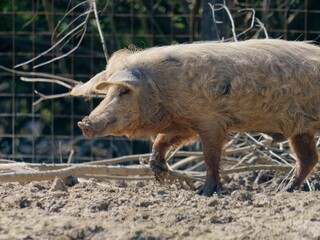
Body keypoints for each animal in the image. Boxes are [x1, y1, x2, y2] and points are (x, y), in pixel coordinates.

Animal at [77, 39, 320, 196]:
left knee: (308, 159)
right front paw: (160, 176)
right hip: (301, 130)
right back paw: (282, 190)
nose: (84, 123)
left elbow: (210, 158)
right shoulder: (185, 124)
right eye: (108, 92)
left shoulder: (210, 122)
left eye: (123, 92)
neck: (161, 90)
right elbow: (162, 141)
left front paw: (204, 193)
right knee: (308, 159)